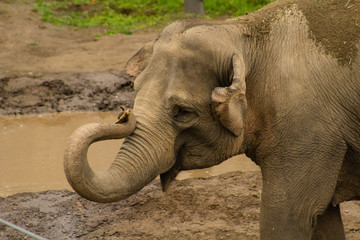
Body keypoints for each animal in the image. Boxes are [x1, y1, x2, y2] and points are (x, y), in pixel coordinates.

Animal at [64, 0, 360, 239]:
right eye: (135, 89)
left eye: (182, 112)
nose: (124, 114)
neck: (244, 34)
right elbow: (322, 217)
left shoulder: (305, 130)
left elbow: (288, 215)